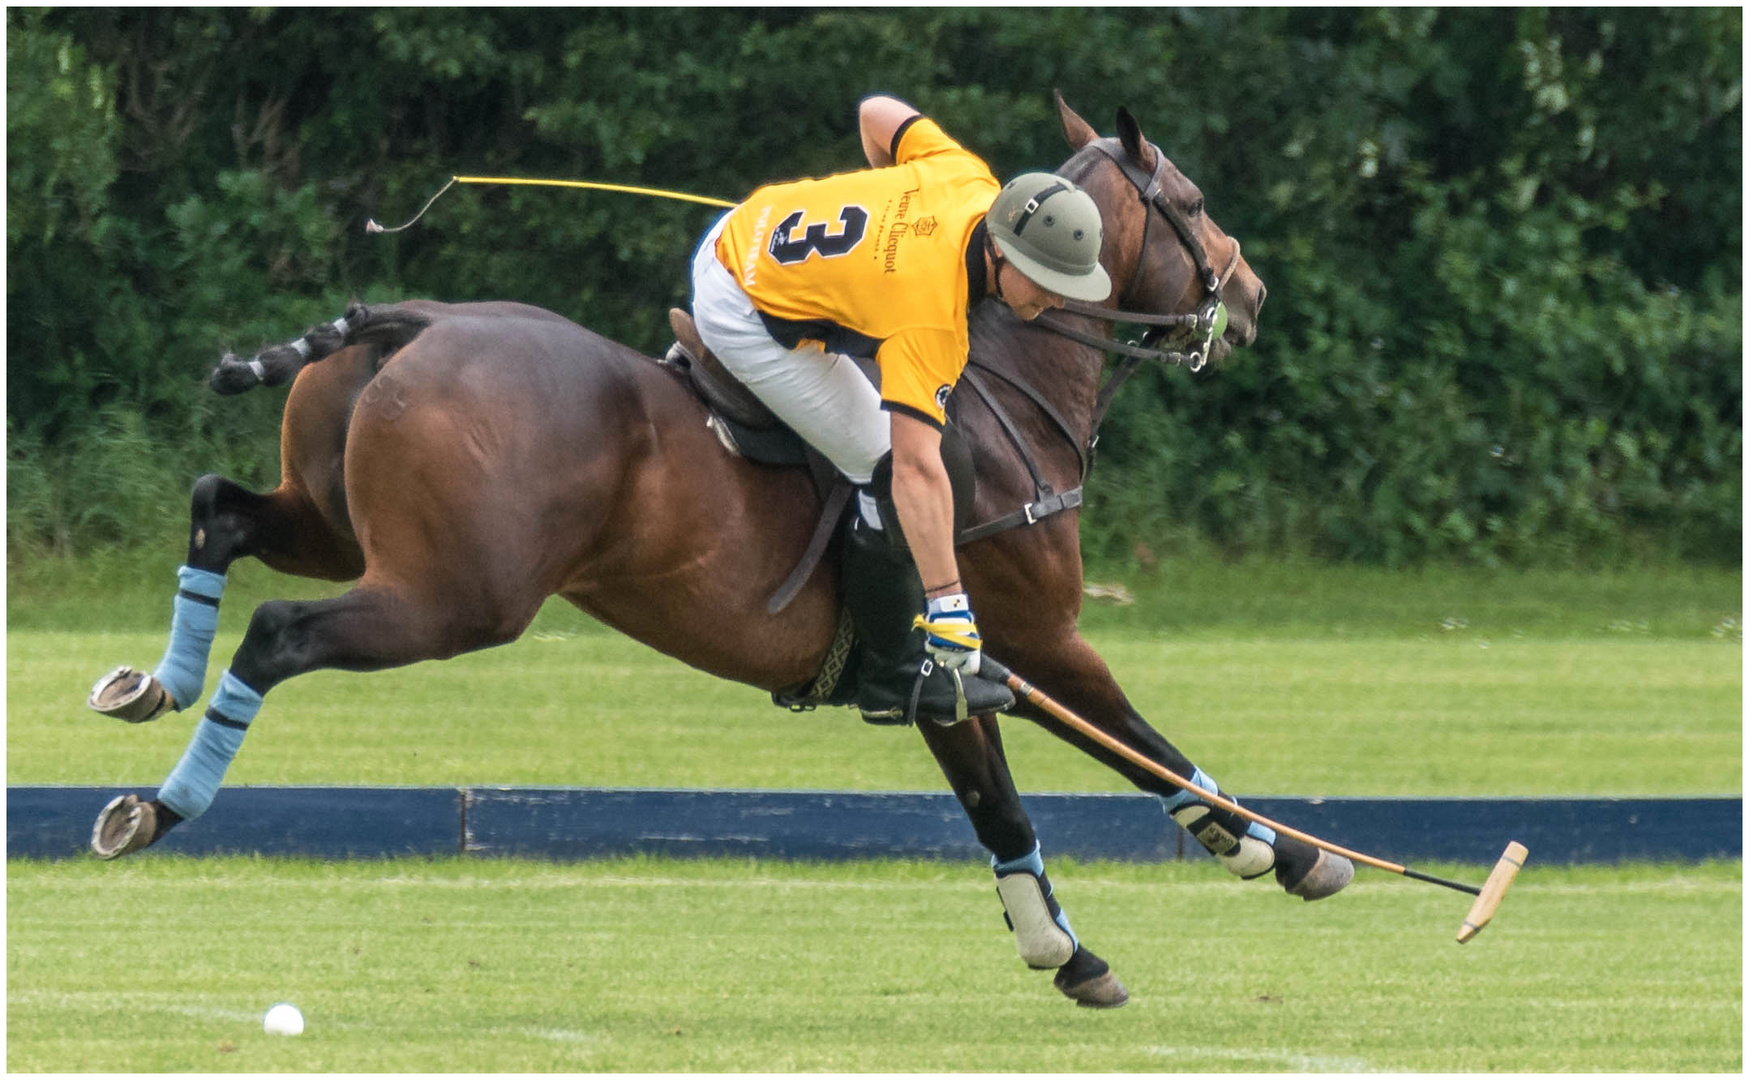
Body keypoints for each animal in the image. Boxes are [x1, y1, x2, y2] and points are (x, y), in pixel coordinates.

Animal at [88, 94, 1343, 1008]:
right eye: (1190, 200)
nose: (1251, 292)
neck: (1004, 387)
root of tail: (416, 321)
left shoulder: (994, 667)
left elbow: (1095, 769)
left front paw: (1253, 866)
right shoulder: (1017, 642)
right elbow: (1084, 766)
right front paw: (1171, 904)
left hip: (341, 522)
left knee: (222, 510)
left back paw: (152, 685)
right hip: (454, 596)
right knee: (277, 631)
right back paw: (158, 807)